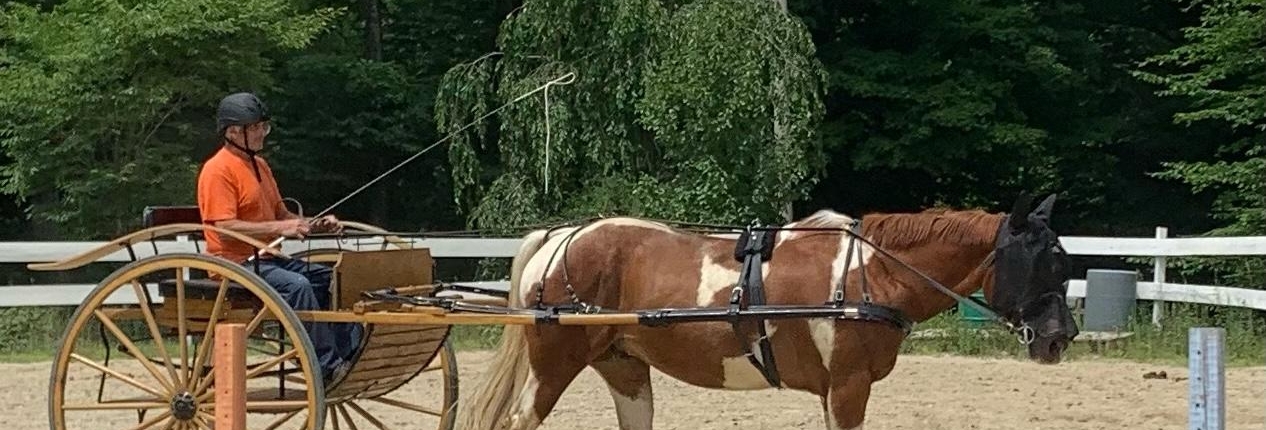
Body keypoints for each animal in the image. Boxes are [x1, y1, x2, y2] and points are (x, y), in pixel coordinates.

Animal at [455, 193, 1078, 430]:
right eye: (1042, 261)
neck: (869, 274)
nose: (1059, 338)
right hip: (553, 366)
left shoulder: (836, 390)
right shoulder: (848, 386)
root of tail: (562, 236)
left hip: (623, 366)